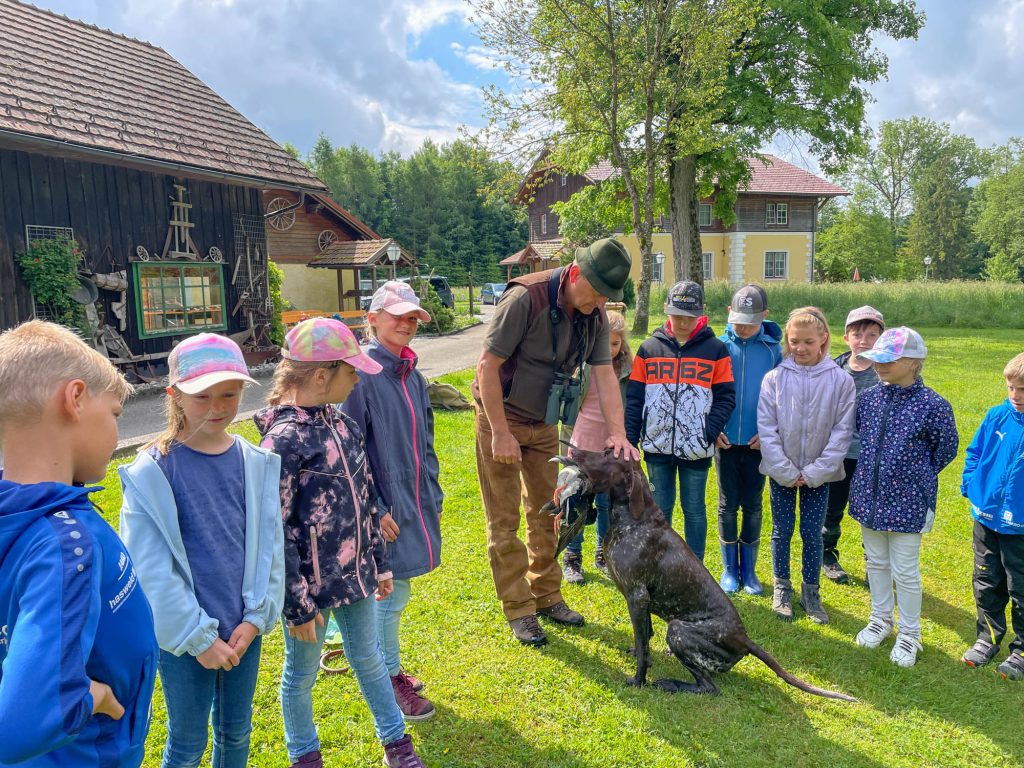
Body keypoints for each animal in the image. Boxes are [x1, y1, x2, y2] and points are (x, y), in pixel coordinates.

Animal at [552, 450, 856, 704]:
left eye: (607, 455)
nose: (572, 452)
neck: (634, 518)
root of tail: (745, 639)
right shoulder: (642, 602)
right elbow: (643, 637)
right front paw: (636, 652)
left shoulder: (637, 597)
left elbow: (643, 650)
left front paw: (638, 680)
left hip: (678, 630)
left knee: (709, 687)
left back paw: (672, 684)